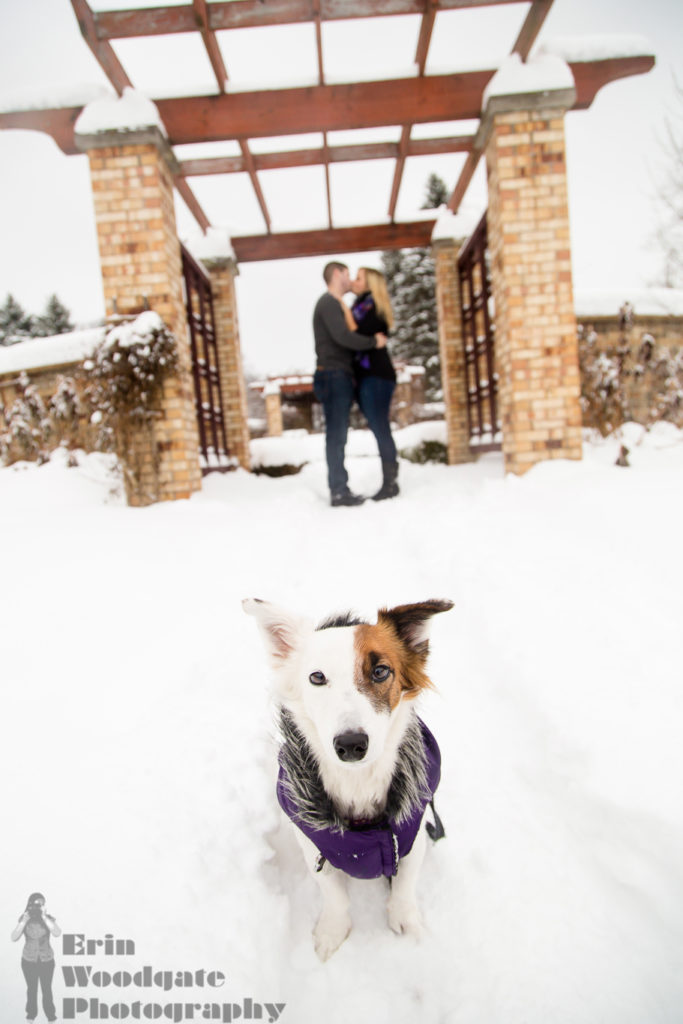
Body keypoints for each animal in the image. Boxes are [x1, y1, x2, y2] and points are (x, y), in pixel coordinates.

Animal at [241, 598, 454, 962]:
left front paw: (405, 921)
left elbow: (405, 885)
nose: (351, 744)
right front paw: (332, 931)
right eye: (317, 677)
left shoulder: (414, 834)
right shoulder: (315, 847)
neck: (358, 784)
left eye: (380, 671)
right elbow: (335, 895)